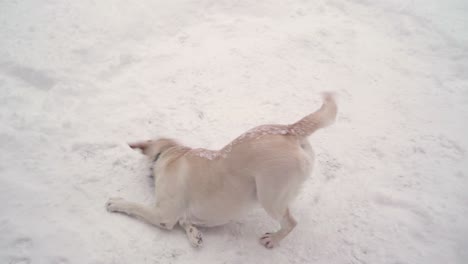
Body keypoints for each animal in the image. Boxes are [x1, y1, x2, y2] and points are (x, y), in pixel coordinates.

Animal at [107, 92, 336, 248]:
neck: (171, 153)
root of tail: (290, 130)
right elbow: (186, 220)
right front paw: (194, 234)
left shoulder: (164, 214)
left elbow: (136, 206)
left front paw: (116, 203)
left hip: (270, 197)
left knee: (291, 222)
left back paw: (273, 239)